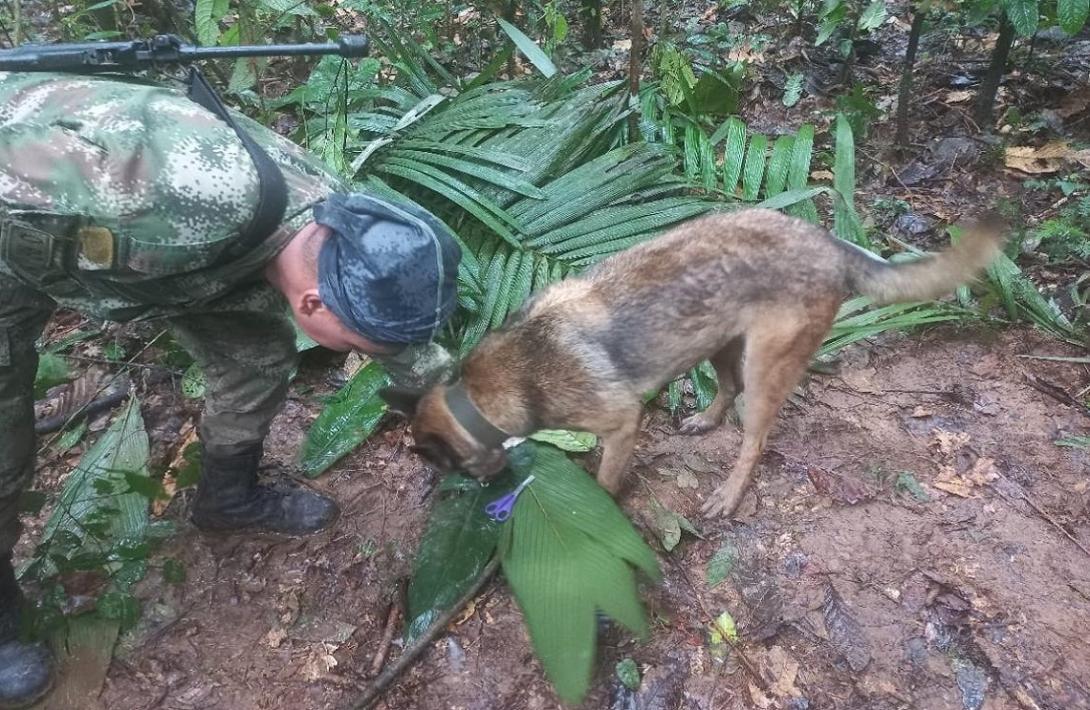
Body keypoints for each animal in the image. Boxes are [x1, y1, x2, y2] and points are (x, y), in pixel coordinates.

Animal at [383, 208, 1002, 519]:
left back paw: (729, 494)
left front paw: (599, 507)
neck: (483, 392)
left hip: (764, 366)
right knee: (725, 390)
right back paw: (705, 419)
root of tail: (831, 244)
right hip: (717, 342)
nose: (485, 491)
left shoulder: (621, 423)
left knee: (755, 439)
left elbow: (606, 480)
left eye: (448, 468)